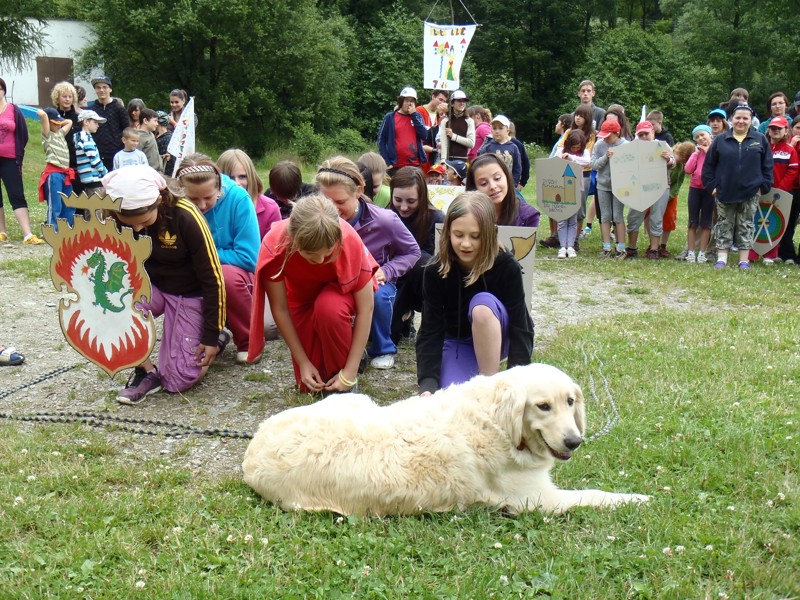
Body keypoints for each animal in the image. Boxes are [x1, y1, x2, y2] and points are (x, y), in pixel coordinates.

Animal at [242, 364, 648, 512]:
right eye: (543, 406)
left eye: (570, 402)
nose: (574, 441)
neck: (499, 424)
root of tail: (251, 451)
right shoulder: (539, 501)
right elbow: (595, 494)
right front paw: (638, 498)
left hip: (357, 400)